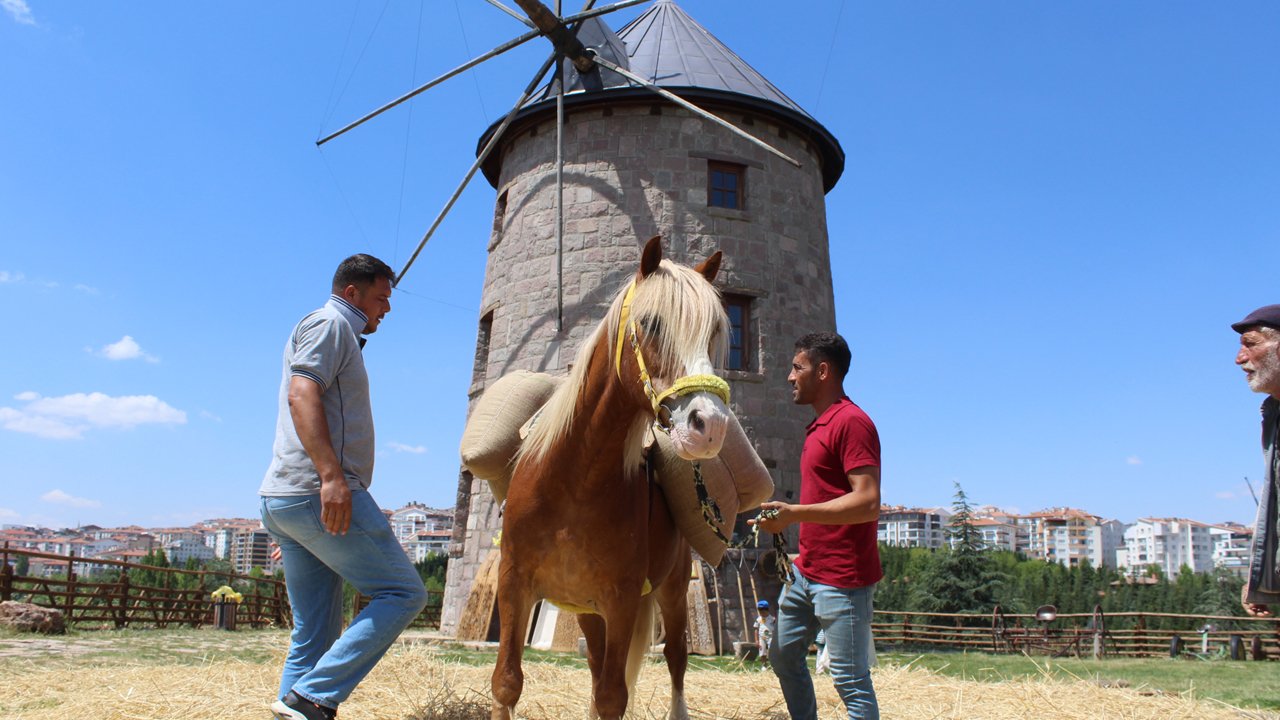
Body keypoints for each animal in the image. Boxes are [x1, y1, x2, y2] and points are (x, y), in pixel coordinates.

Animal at [488, 237, 732, 717]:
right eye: (652, 323)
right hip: (585, 608)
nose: (710, 425)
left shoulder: (622, 599)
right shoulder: (514, 585)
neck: (573, 480)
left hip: (672, 590)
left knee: (675, 658)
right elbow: (507, 682)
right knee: (597, 663)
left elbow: (613, 695)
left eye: (714, 330)